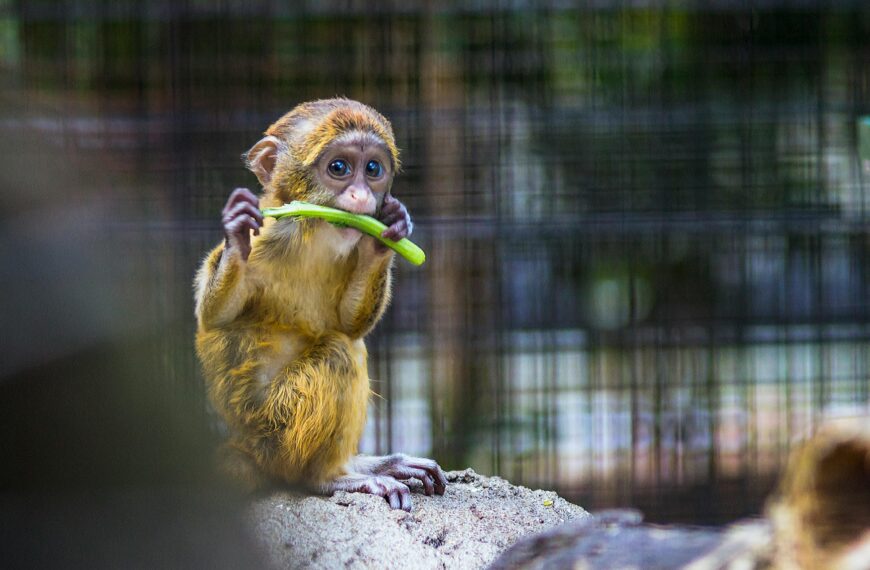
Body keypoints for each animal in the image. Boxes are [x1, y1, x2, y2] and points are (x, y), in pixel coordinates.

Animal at [194, 98, 447, 511]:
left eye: (373, 169)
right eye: (339, 168)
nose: (362, 197)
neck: (312, 233)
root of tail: (246, 448)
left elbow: (349, 324)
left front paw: (386, 234)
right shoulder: (269, 236)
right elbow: (215, 317)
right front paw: (236, 235)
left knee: (347, 343)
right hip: (276, 431)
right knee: (339, 354)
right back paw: (327, 477)